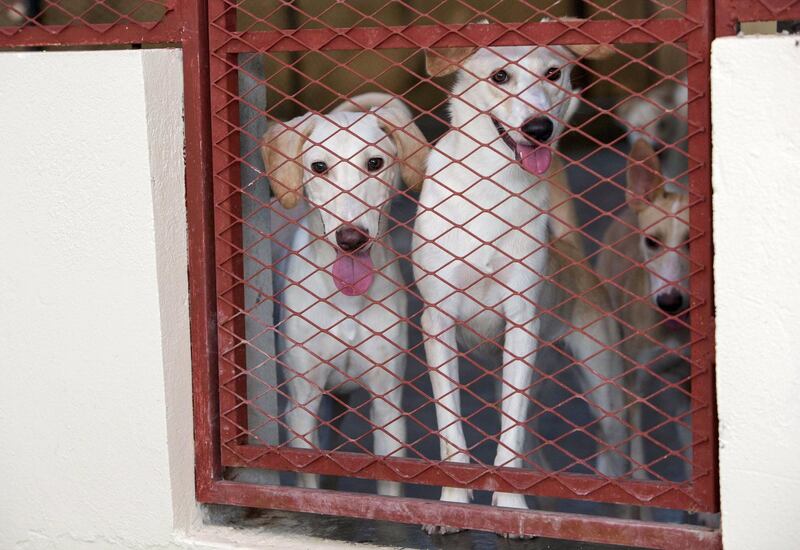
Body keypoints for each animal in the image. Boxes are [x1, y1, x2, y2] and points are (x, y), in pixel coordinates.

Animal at [262, 92, 428, 498]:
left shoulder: (388, 407)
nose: (351, 239)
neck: (347, 300)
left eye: (375, 163)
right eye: (319, 167)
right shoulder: (302, 406)